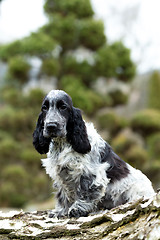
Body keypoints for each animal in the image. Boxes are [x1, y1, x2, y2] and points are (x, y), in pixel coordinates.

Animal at [33, 89, 155, 218]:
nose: (51, 126)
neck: (63, 143)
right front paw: (60, 211)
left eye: (63, 107)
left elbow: (86, 191)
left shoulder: (89, 172)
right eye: (44, 108)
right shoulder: (61, 174)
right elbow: (63, 194)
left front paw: (77, 209)